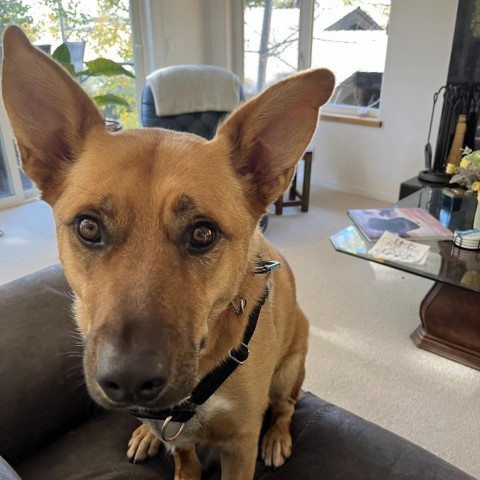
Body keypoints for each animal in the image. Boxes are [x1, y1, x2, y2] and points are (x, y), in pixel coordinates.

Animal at [1, 25, 334, 480]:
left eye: (203, 234)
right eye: (88, 227)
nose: (128, 382)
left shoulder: (240, 444)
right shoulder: (176, 433)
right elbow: (184, 454)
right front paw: (171, 454)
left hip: (288, 370)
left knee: (285, 405)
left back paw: (279, 436)